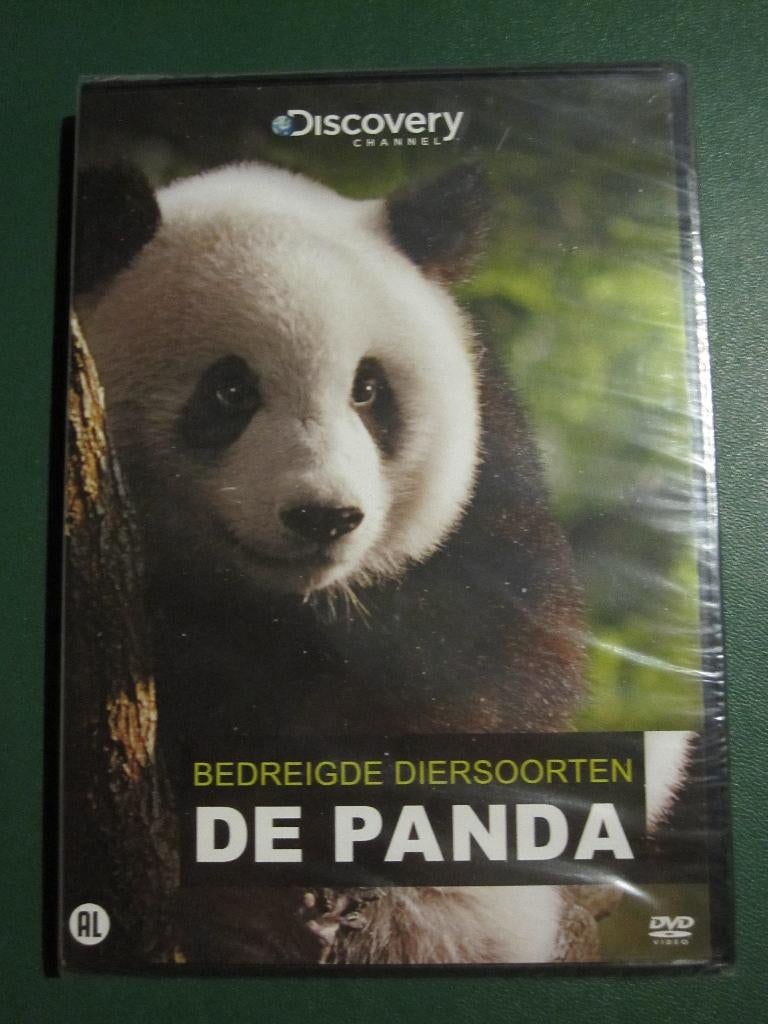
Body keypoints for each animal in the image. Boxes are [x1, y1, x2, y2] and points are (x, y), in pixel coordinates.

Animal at [73, 160, 687, 965]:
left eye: (368, 390)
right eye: (230, 389)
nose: (323, 516)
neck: (284, 605)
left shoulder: (485, 507)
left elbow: (486, 691)